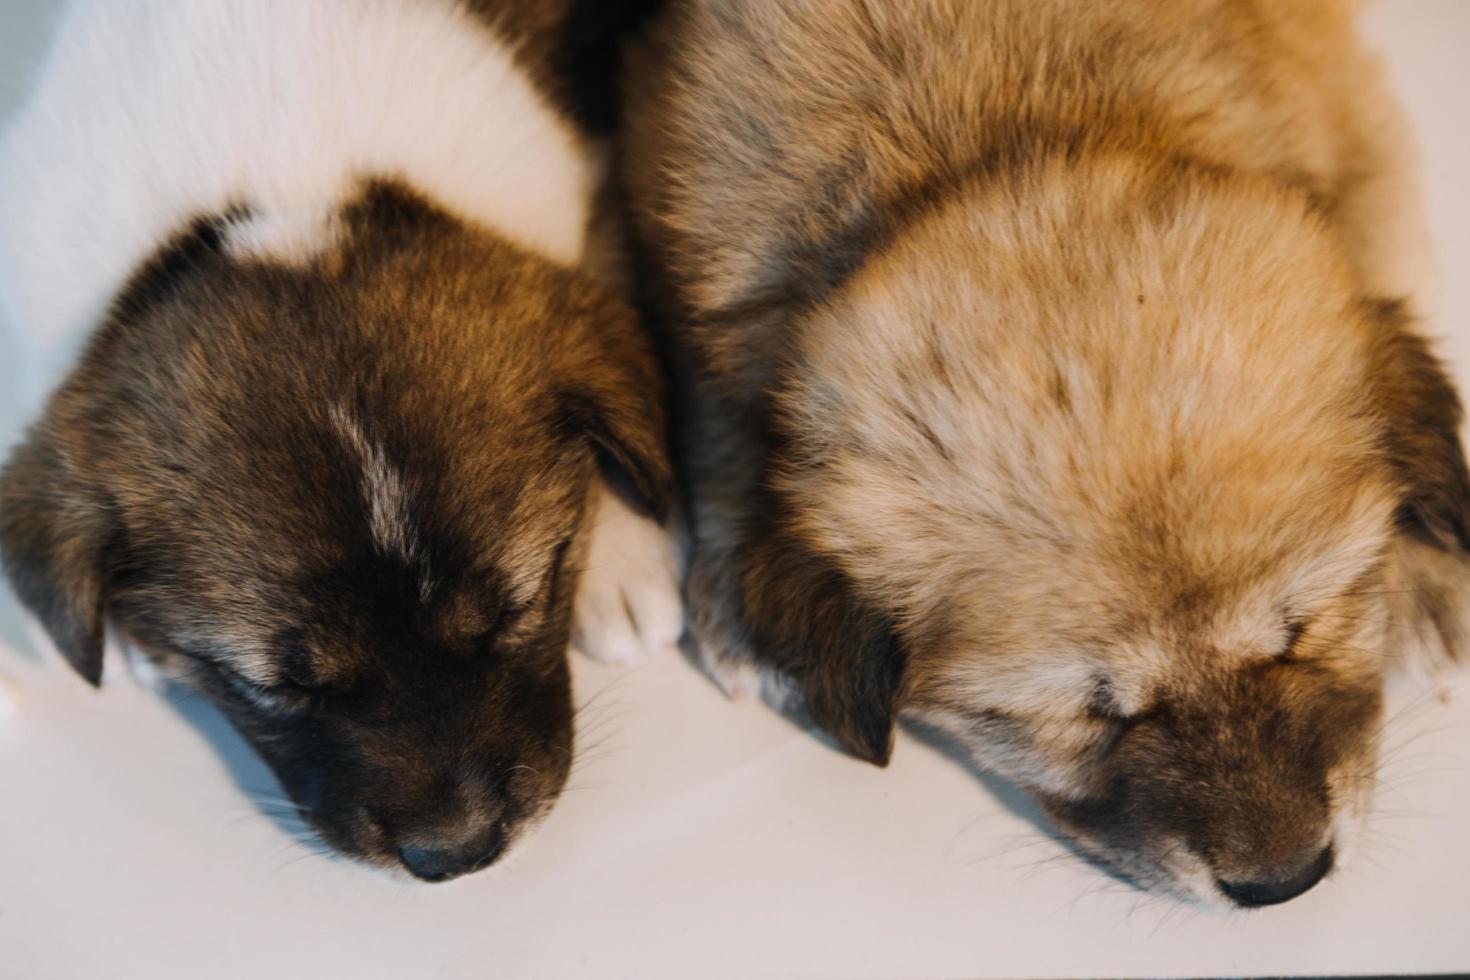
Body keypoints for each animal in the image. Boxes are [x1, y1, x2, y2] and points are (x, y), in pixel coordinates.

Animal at [626, 0, 1464, 910]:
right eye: (1093, 716)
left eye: (1298, 634)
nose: (1286, 882)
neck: (996, 132)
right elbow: (715, 412)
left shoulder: (1351, 113)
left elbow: (1381, 247)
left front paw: (1424, 583)